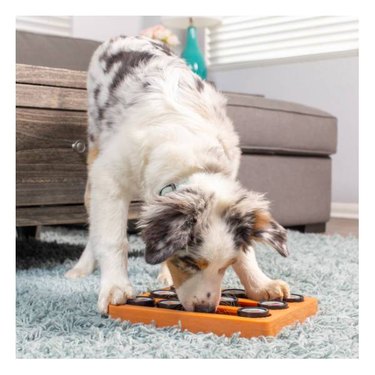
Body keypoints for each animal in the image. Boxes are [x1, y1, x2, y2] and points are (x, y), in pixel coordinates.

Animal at [66, 36, 292, 316]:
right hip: (94, 156)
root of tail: (125, 37)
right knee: (93, 226)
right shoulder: (110, 178)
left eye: (225, 265)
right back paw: (82, 267)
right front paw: (115, 288)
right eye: (189, 262)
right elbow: (112, 239)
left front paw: (261, 284)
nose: (206, 309)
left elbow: (245, 252)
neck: (192, 162)